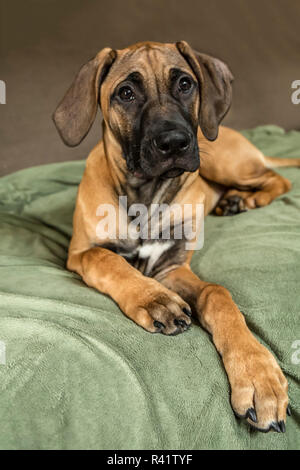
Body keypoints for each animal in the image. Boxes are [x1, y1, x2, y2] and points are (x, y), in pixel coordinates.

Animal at [52, 40, 298, 434]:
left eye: (185, 84)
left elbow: (217, 293)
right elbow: (106, 259)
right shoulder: (80, 253)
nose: (175, 143)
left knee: (278, 178)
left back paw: (245, 199)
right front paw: (155, 300)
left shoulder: (172, 267)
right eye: (125, 93)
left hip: (223, 161)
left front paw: (259, 376)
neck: (146, 198)